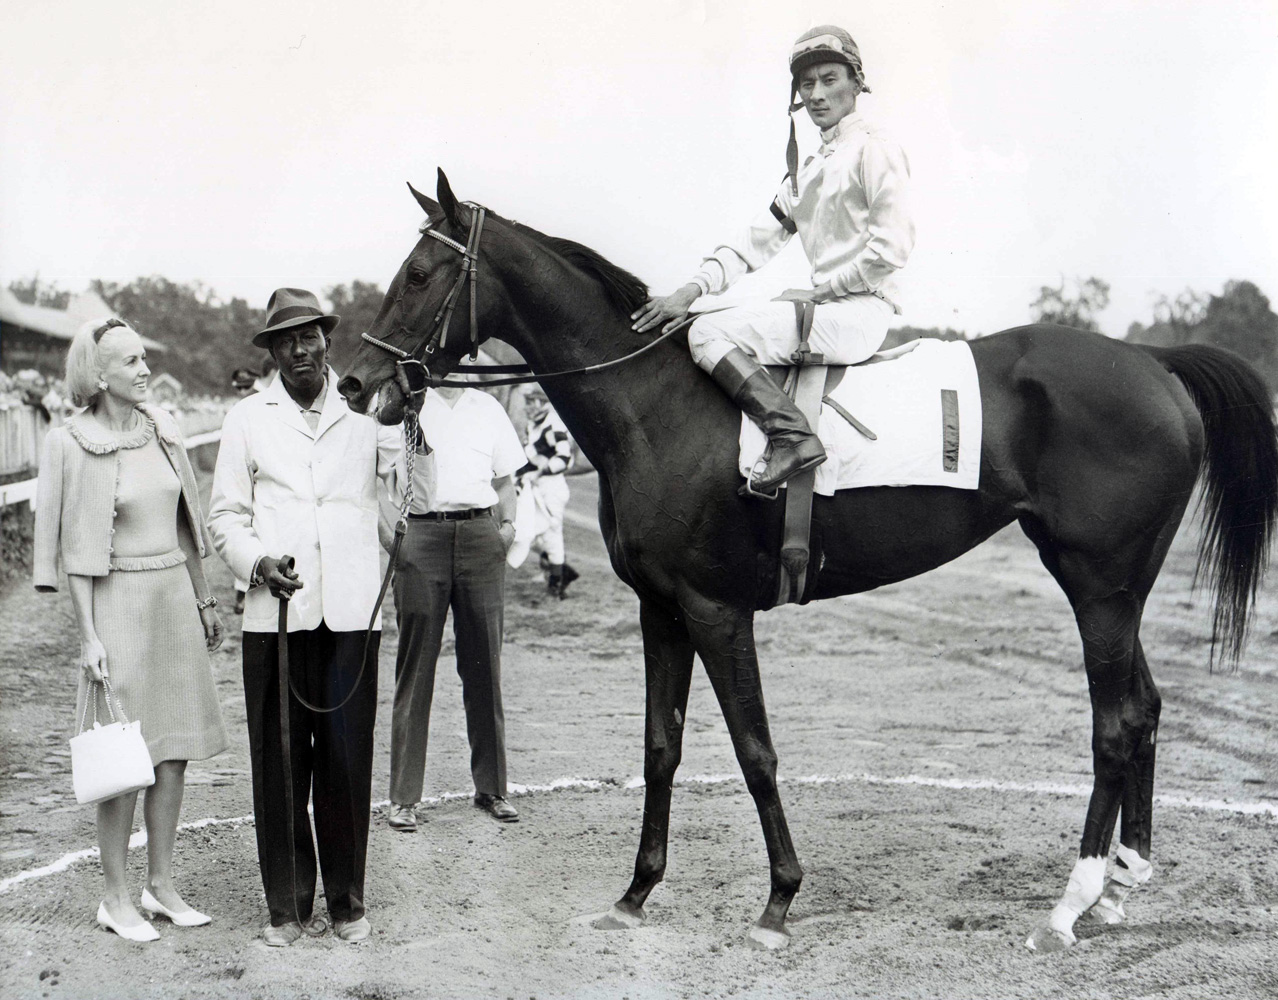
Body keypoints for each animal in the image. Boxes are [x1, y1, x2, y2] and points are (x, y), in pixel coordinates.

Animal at [339, 173, 1278, 956]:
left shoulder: (716, 611)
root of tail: (1155, 361)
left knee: (1114, 724)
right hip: (1112, 587)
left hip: (1099, 587)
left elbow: (755, 750)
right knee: (1145, 709)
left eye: (419, 273)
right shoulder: (660, 609)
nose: (354, 383)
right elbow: (660, 748)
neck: (658, 407)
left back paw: (1069, 905)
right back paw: (1120, 887)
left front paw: (779, 900)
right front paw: (637, 894)